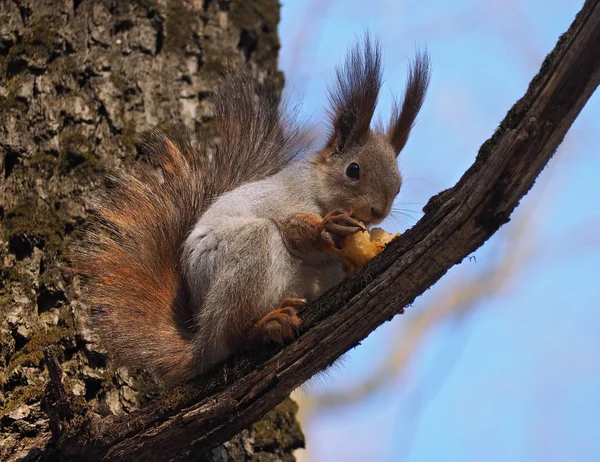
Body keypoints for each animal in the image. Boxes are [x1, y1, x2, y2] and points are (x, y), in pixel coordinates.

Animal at [76, 36, 432, 384]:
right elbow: (294, 228)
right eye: (353, 170)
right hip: (247, 255)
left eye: (399, 185)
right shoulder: (290, 196)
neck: (320, 190)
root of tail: (201, 344)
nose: (377, 211)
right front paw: (326, 229)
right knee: (232, 335)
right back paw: (265, 326)